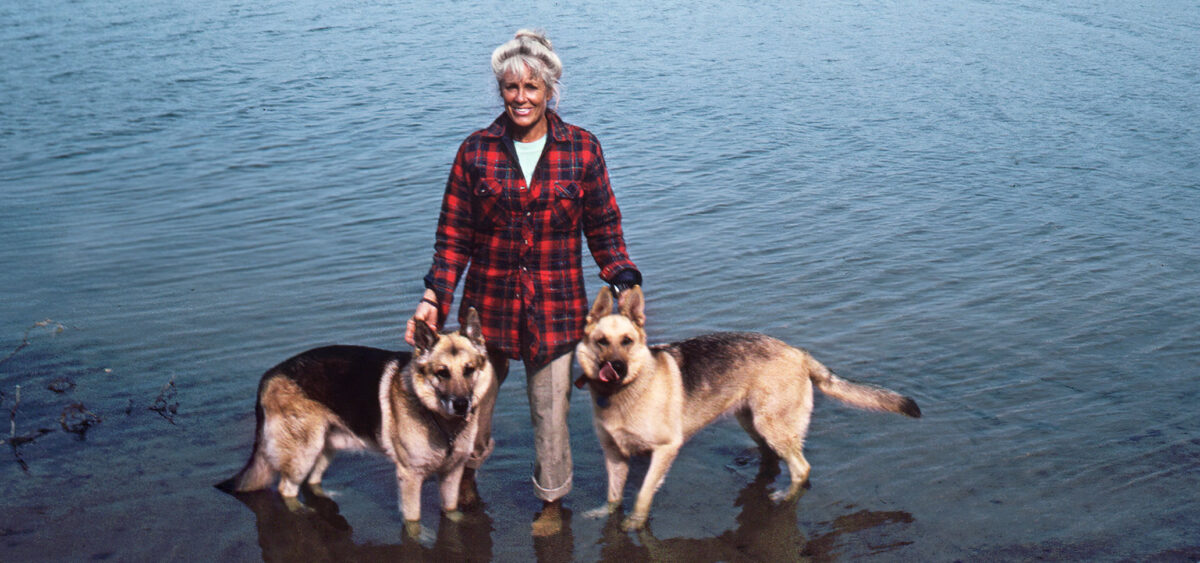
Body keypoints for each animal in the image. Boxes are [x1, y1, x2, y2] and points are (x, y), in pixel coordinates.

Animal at [216, 307, 492, 530]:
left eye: (469, 370)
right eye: (442, 372)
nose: (461, 405)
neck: (439, 419)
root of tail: (268, 376)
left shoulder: (452, 475)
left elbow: (451, 511)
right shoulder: (410, 478)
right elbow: (413, 522)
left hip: (324, 448)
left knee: (312, 481)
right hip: (302, 454)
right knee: (287, 489)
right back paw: (304, 512)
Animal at [571, 286, 916, 528]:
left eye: (627, 342)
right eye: (602, 342)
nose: (616, 367)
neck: (623, 392)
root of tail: (799, 353)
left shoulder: (666, 449)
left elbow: (642, 495)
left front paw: (635, 523)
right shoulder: (615, 456)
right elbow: (614, 496)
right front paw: (606, 514)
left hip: (770, 426)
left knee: (801, 468)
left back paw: (784, 496)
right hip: (752, 422)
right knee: (775, 457)